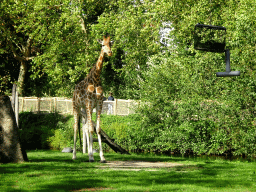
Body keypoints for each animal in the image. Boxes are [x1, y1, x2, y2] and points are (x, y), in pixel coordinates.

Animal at [71, 34, 112, 162]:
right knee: (76, 127)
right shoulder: (89, 103)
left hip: (85, 108)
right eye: (102, 45)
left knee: (85, 127)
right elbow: (90, 129)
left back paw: (88, 153)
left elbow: (97, 129)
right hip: (76, 107)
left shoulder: (98, 104)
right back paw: (74, 155)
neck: (96, 79)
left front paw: (102, 157)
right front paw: (92, 156)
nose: (110, 52)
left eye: (110, 44)